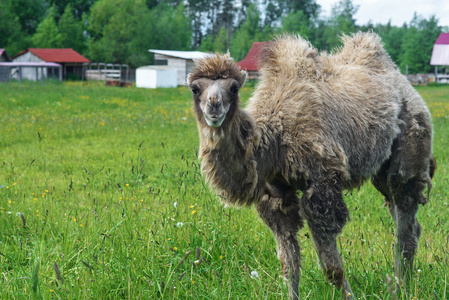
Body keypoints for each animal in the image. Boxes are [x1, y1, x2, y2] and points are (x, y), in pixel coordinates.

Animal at [185, 31, 434, 298]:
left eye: (233, 88)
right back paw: (403, 281)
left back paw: (401, 287)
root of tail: (404, 83)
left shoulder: (322, 184)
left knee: (405, 216)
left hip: (411, 147)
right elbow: (288, 264)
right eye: (195, 88)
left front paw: (349, 295)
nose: (214, 105)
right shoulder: (276, 193)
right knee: (404, 216)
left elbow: (333, 269)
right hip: (382, 170)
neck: (274, 141)